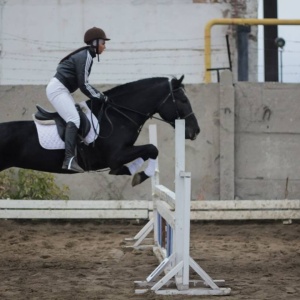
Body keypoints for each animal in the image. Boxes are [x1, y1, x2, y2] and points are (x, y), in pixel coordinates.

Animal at [1, 75, 200, 186]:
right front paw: (139, 175)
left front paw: (131, 172)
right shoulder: (116, 156)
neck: (118, 115)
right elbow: (152, 149)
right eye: (183, 99)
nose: (195, 131)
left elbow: (149, 151)